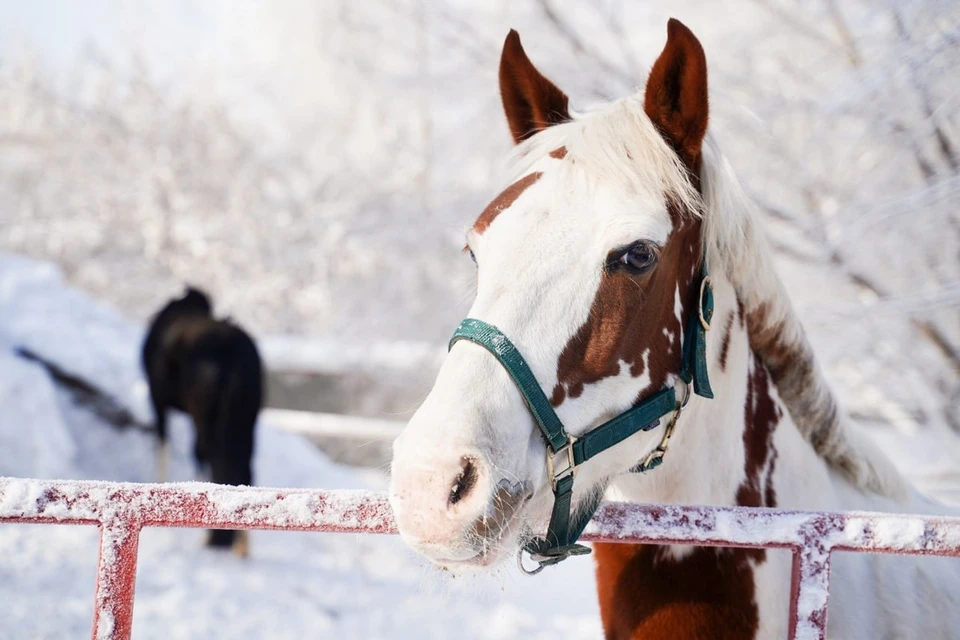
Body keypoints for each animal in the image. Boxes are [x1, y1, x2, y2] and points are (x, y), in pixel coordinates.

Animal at [142, 286, 262, 556]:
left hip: (205, 417)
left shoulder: (158, 401)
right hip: (244, 420)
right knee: (243, 466)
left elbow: (164, 443)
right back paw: (239, 544)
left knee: (208, 455)